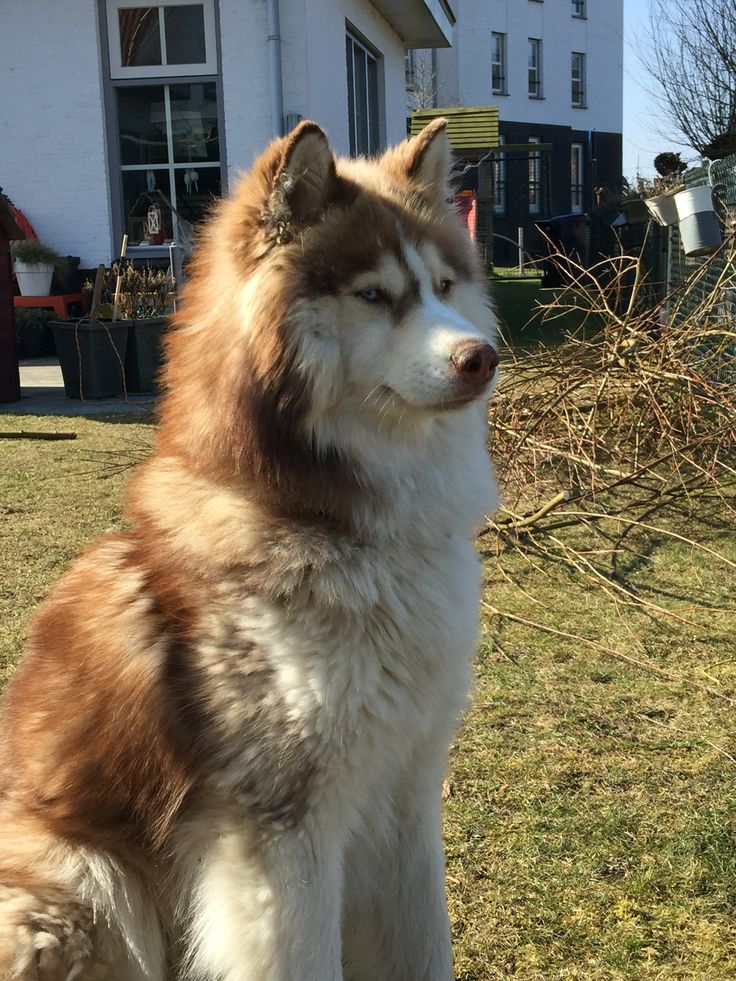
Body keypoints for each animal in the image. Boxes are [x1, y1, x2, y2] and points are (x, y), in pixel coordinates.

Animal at [0, 120, 500, 980]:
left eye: (443, 285)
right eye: (374, 295)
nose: (482, 357)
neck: (330, 521)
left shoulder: (405, 787)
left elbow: (423, 944)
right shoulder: (280, 829)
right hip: (87, 878)